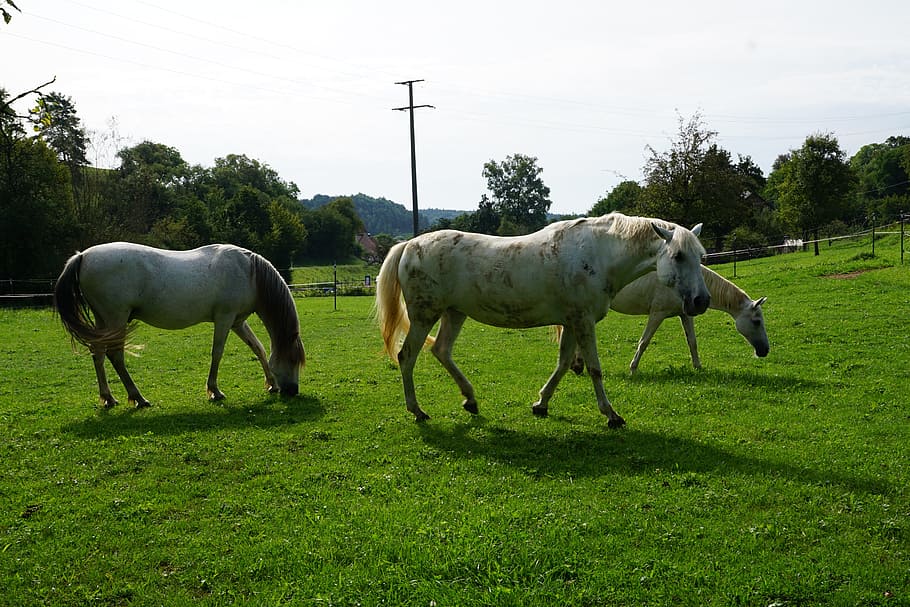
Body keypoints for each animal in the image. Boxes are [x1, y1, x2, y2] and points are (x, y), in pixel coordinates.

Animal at [54, 242, 305, 408]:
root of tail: (83, 256)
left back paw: (108, 397)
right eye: (292, 360)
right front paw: (214, 391)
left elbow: (258, 349)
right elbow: (217, 353)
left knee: (98, 353)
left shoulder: (237, 322)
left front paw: (271, 384)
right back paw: (138, 398)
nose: (293, 391)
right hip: (116, 318)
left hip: (103, 320)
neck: (249, 272)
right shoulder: (224, 318)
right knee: (115, 356)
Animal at [376, 213, 710, 427]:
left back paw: (470, 400)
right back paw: (417, 411)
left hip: (454, 313)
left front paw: (541, 404)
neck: (599, 254)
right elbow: (594, 368)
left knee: (441, 351)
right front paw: (611, 415)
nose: (701, 301)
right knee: (407, 356)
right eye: (678, 255)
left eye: (701, 256)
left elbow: (563, 365)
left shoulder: (573, 321)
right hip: (424, 315)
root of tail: (409, 245)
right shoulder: (583, 321)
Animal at [557, 265, 768, 374]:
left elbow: (692, 342)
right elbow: (644, 342)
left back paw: (578, 366)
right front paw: (633, 369)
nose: (765, 351)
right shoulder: (657, 314)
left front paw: (698, 366)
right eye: (756, 322)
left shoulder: (685, 315)